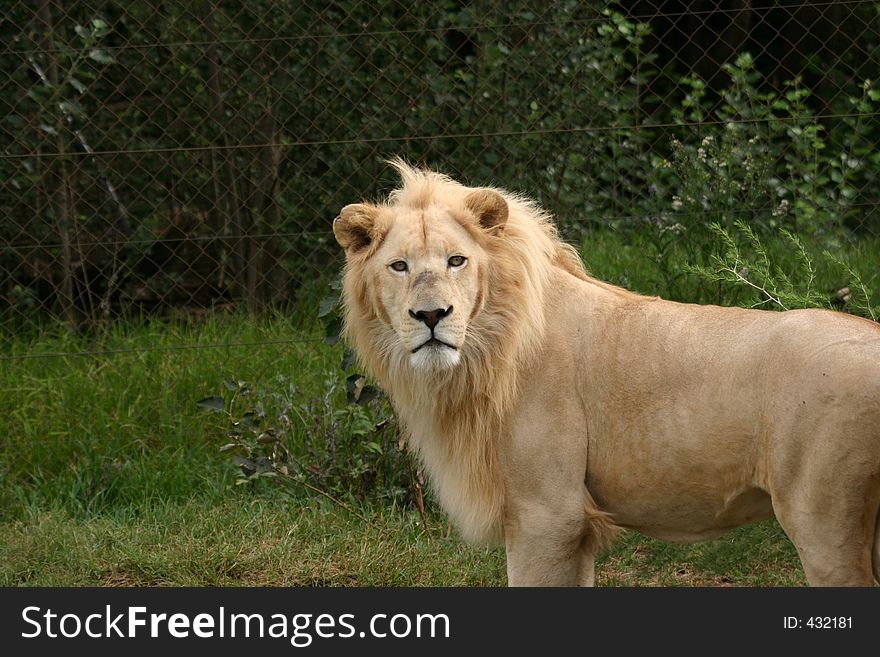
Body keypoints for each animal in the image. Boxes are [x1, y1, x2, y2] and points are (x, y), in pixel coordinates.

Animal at [332, 158, 880, 584]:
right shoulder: (570, 526)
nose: (431, 316)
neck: (484, 353)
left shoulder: (548, 515)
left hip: (823, 523)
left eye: (456, 261)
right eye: (399, 266)